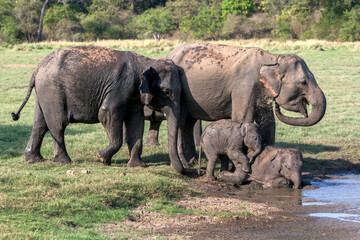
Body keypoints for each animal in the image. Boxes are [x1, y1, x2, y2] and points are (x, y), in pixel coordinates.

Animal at [11, 46, 183, 172]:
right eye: (166, 91)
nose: (182, 170)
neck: (146, 61)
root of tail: (37, 68)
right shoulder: (120, 88)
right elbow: (106, 114)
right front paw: (102, 158)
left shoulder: (134, 96)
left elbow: (136, 122)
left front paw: (137, 166)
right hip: (52, 90)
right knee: (58, 124)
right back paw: (64, 162)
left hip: (43, 92)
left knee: (40, 124)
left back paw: (34, 160)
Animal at [168, 43, 326, 163]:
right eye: (303, 82)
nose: (277, 106)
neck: (273, 58)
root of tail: (169, 54)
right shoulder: (243, 86)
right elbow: (243, 119)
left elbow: (268, 122)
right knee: (182, 120)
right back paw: (186, 162)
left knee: (188, 122)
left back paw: (192, 160)